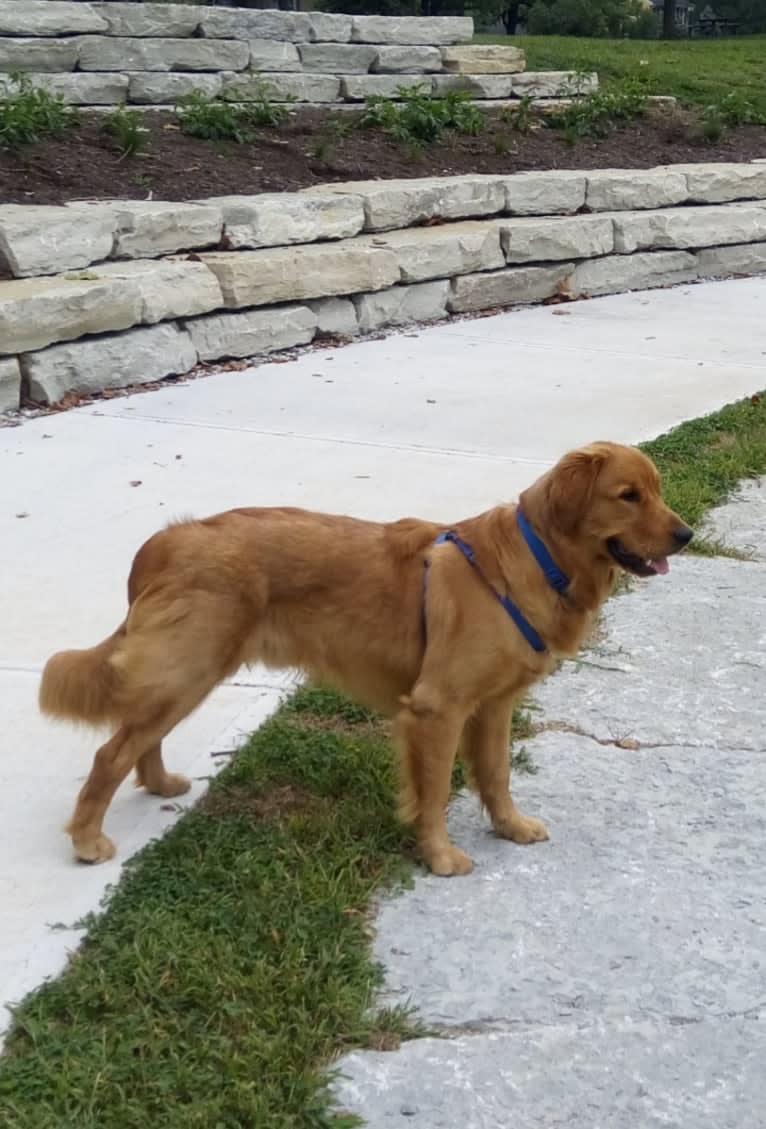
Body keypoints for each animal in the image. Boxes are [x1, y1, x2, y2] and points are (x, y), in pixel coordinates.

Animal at [38, 440, 691, 871]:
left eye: (657, 491)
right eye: (628, 496)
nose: (685, 536)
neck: (536, 559)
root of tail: (167, 539)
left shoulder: (493, 705)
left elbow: (496, 773)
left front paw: (509, 827)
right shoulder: (436, 709)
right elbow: (434, 793)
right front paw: (440, 856)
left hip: (188, 672)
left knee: (138, 738)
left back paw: (158, 785)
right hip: (191, 667)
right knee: (110, 753)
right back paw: (87, 841)